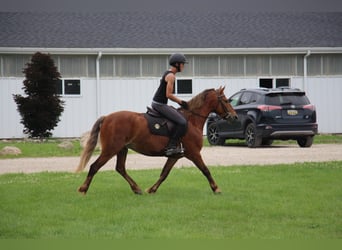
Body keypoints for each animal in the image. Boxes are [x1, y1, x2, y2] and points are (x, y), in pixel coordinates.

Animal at [76, 87, 236, 194]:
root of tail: (107, 117)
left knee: (120, 168)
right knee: (95, 166)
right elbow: (206, 170)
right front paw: (216, 188)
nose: (234, 116)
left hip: (122, 148)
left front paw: (152, 189)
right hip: (111, 149)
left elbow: (164, 173)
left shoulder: (175, 156)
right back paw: (83, 189)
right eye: (226, 100)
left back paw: (137, 189)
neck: (192, 120)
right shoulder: (194, 153)